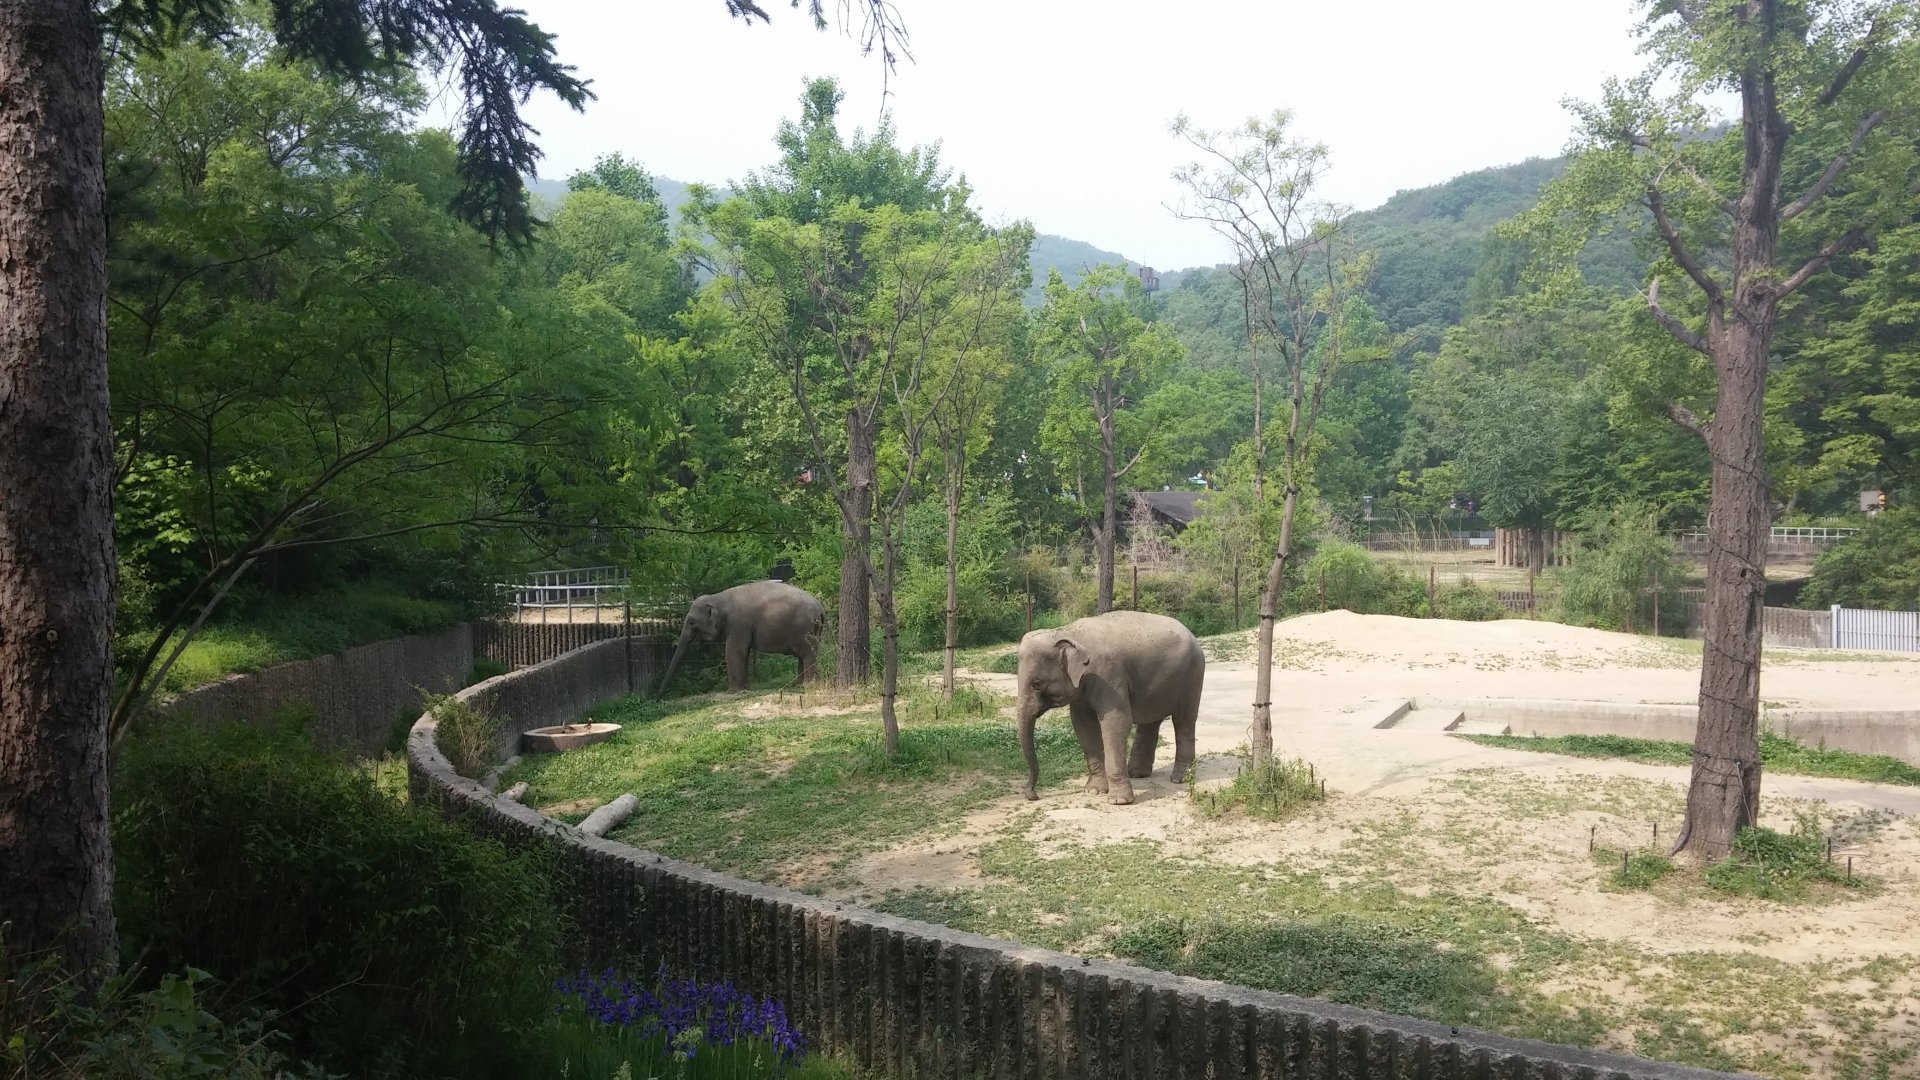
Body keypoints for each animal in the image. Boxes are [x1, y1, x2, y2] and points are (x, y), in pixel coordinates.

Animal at [659, 579, 824, 694]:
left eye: (692, 622)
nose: (658, 696)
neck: (717, 597)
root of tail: (820, 608)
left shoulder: (738, 623)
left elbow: (734, 650)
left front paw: (732, 692)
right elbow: (744, 652)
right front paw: (745, 689)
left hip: (804, 629)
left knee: (807, 653)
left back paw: (808, 686)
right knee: (804, 655)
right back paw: (798, 685)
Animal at [1014, 610, 1205, 805]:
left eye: (1036, 684)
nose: (1033, 795)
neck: (1067, 632)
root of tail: (1191, 634)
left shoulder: (1109, 676)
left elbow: (1117, 722)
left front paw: (1119, 801)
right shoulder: (1083, 689)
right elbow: (1083, 725)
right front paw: (1094, 791)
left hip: (1193, 676)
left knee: (1184, 721)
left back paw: (1180, 779)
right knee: (1151, 720)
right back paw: (1137, 774)